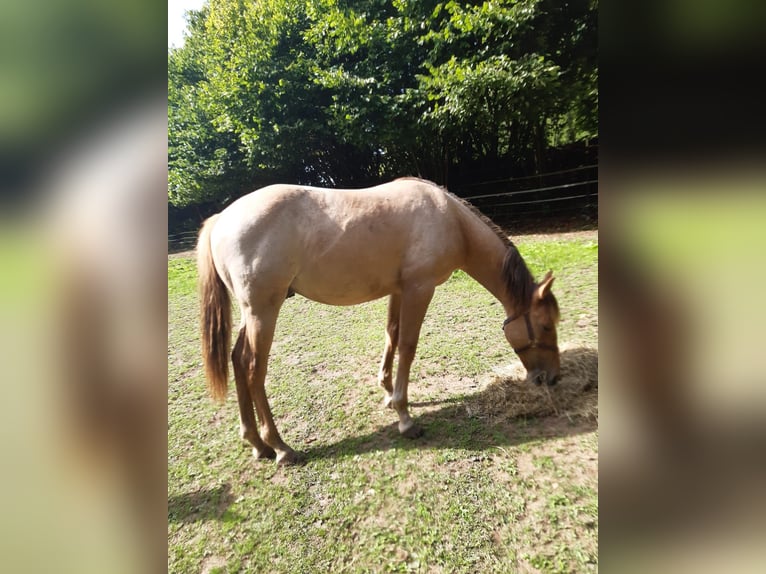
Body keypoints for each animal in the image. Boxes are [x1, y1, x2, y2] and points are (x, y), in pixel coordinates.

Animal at [196, 177, 561, 465]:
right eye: (545, 325)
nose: (552, 378)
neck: (450, 218)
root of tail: (222, 219)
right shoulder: (419, 289)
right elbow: (408, 347)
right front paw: (404, 417)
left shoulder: (399, 290)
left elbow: (392, 336)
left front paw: (387, 392)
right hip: (263, 313)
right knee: (253, 369)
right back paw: (281, 448)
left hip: (251, 315)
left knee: (237, 361)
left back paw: (257, 444)